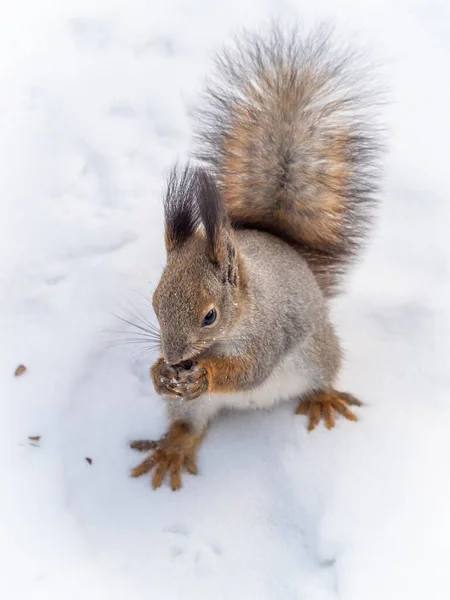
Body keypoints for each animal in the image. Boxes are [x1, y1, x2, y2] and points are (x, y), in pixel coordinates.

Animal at [130, 24, 384, 492]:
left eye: (209, 316)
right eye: (154, 304)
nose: (175, 360)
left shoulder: (269, 331)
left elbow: (250, 370)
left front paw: (206, 374)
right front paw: (158, 373)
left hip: (317, 353)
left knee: (319, 377)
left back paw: (323, 398)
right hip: (193, 407)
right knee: (189, 425)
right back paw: (173, 449)